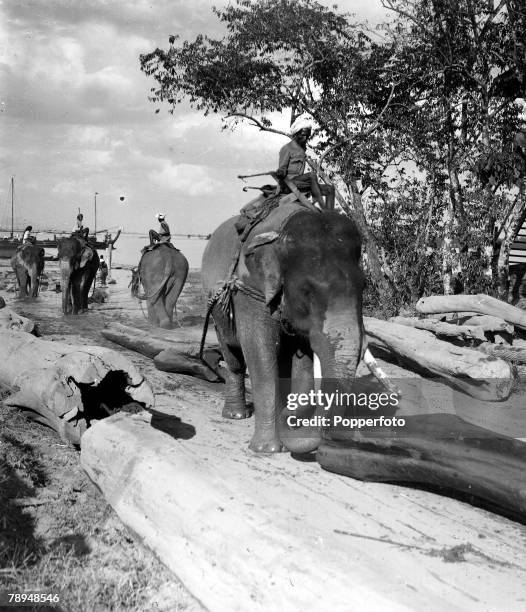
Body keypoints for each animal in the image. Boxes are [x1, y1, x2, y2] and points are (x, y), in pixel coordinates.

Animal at [203, 202, 368, 454]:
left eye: (363, 287)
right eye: (307, 291)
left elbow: (302, 362)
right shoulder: (251, 291)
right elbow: (258, 349)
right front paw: (267, 449)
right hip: (216, 309)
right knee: (233, 358)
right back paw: (237, 415)